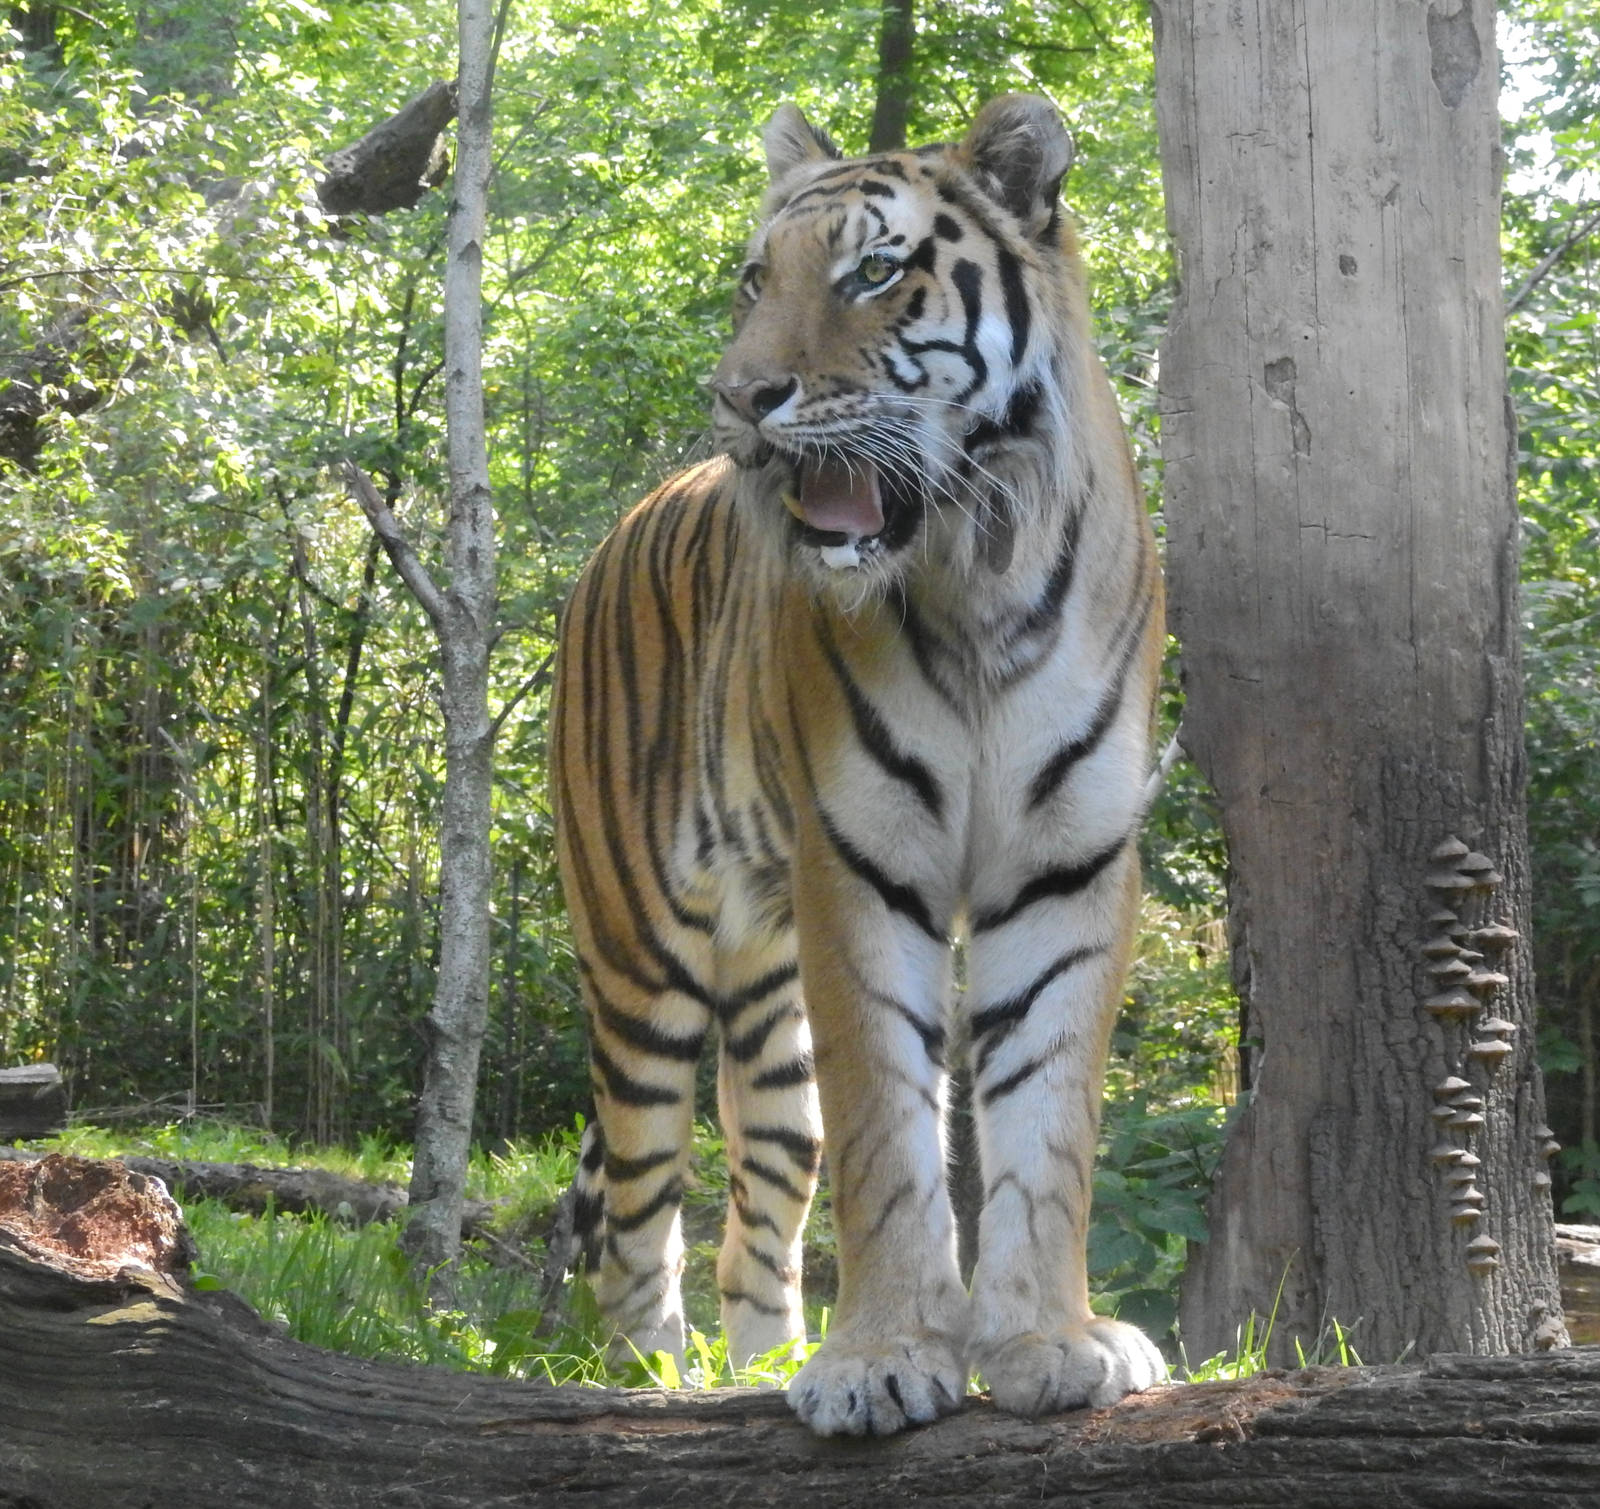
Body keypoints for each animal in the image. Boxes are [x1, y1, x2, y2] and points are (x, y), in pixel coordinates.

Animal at [549, 93, 1166, 1437]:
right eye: (753, 279)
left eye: (874, 273)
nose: (739, 399)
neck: (977, 573)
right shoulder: (862, 865)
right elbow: (890, 1131)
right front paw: (884, 1358)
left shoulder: (1067, 867)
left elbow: (1047, 1126)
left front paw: (1049, 1343)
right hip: (640, 961)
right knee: (638, 1216)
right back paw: (648, 1391)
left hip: (767, 999)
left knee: (755, 1213)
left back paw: (762, 1368)